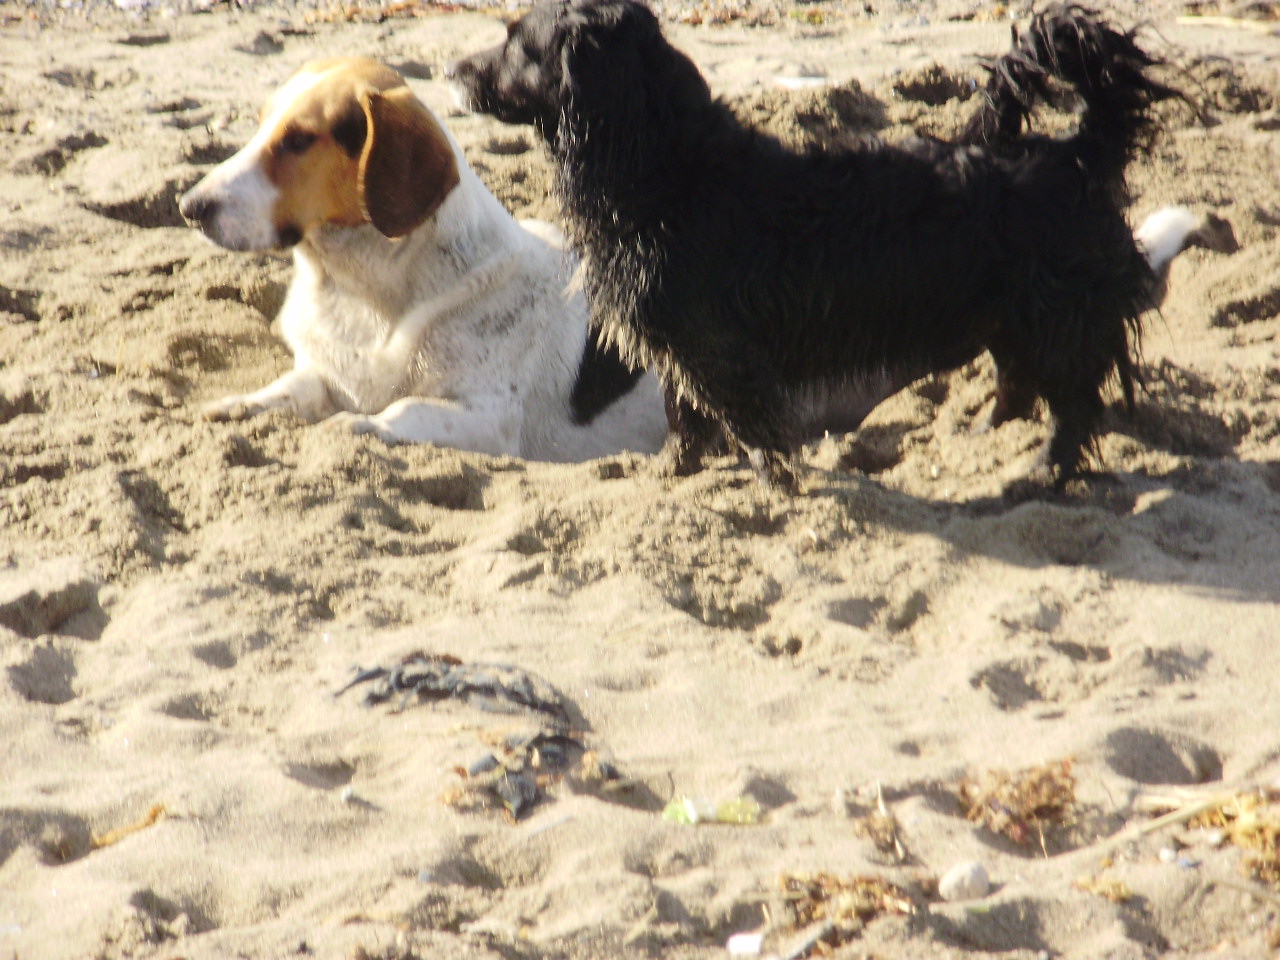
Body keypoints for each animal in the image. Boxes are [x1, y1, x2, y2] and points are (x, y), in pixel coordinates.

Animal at [445, 0, 1172, 483]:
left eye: (517, 44)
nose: (449, 69)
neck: (668, 170)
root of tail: (1077, 152)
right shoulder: (681, 346)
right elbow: (686, 423)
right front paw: (672, 479)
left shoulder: (721, 351)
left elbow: (753, 428)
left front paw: (775, 487)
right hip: (1011, 317)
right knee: (1017, 382)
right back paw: (977, 441)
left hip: (1055, 319)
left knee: (1073, 407)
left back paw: (1039, 474)